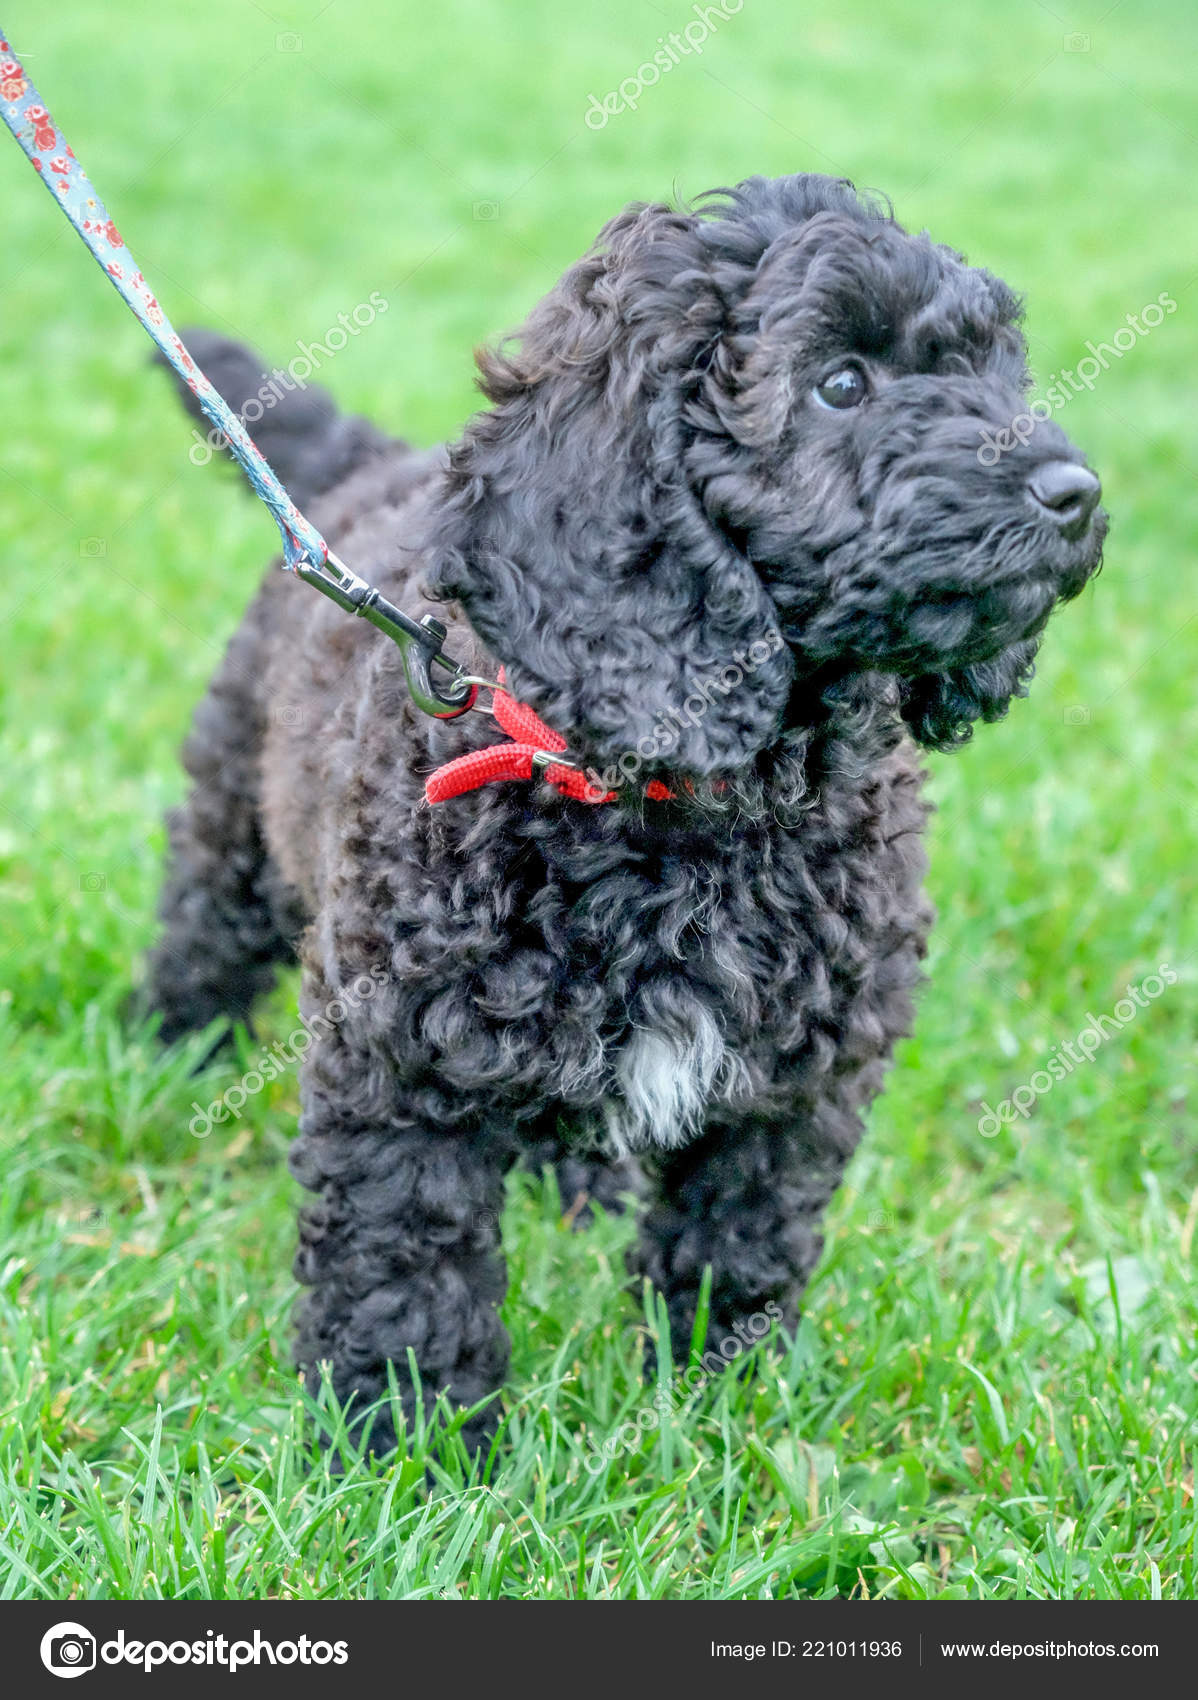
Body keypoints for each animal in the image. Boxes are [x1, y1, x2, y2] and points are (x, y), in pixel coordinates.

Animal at [146, 172, 1101, 1455]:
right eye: (839, 383)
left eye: (995, 369)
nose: (1076, 493)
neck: (689, 805)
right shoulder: (397, 1055)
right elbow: (406, 1259)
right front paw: (404, 1445)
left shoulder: (794, 1083)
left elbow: (740, 1244)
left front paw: (722, 1407)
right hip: (237, 815)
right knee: (204, 920)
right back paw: (164, 1057)